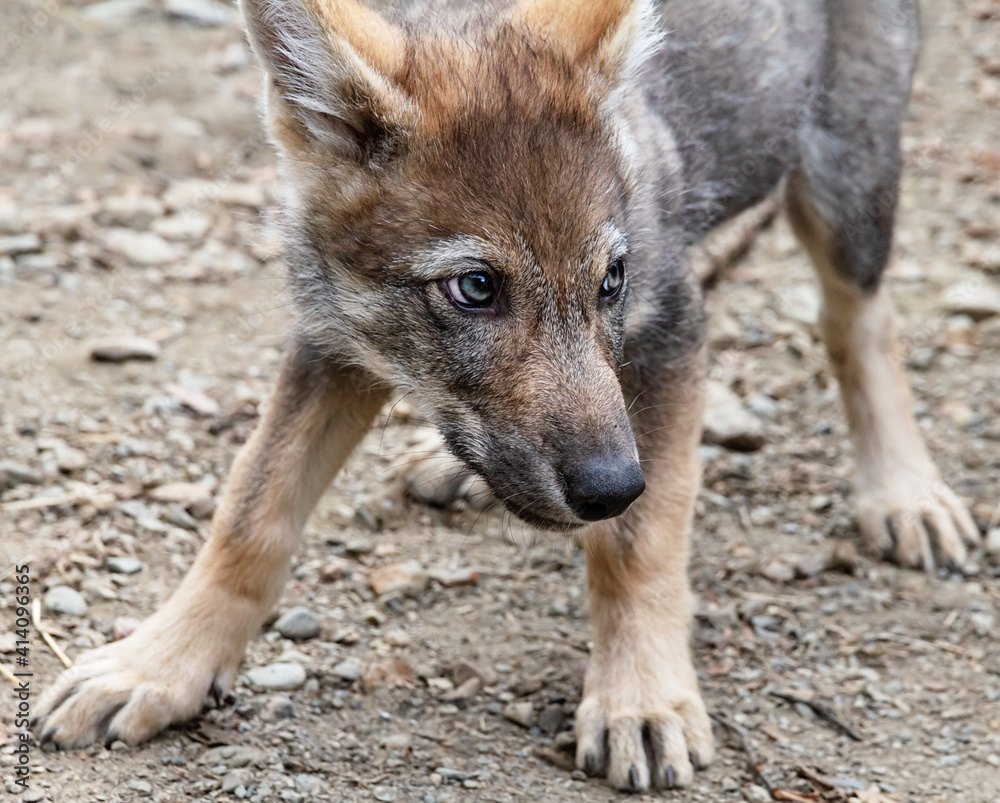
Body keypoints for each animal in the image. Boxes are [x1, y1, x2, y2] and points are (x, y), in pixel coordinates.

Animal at [35, 0, 980, 791]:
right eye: (476, 288)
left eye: (609, 281)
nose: (611, 483)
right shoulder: (333, 339)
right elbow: (250, 511)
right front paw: (159, 663)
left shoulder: (666, 330)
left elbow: (639, 543)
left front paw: (640, 698)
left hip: (847, 173)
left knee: (859, 319)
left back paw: (905, 493)